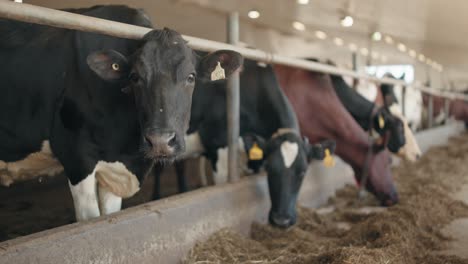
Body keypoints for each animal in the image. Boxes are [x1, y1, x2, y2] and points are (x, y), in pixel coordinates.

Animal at [0, 5, 241, 221]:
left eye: (191, 77)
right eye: (134, 77)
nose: (160, 141)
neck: (123, 146)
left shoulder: (116, 170)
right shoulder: (76, 157)